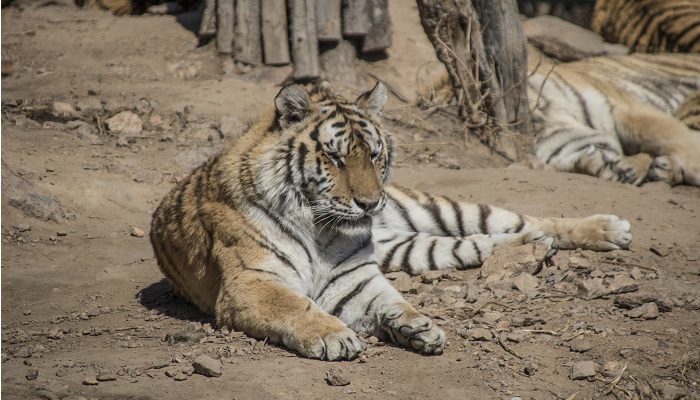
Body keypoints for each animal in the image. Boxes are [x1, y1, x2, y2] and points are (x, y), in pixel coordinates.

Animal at [152, 81, 636, 360]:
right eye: (335, 157)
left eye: (374, 153)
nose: (370, 204)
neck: (322, 230)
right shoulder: (251, 284)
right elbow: (295, 306)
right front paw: (336, 336)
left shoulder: (355, 280)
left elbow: (394, 302)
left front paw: (418, 326)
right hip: (418, 247)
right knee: (492, 239)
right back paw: (531, 247)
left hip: (444, 209)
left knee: (527, 219)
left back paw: (608, 228)